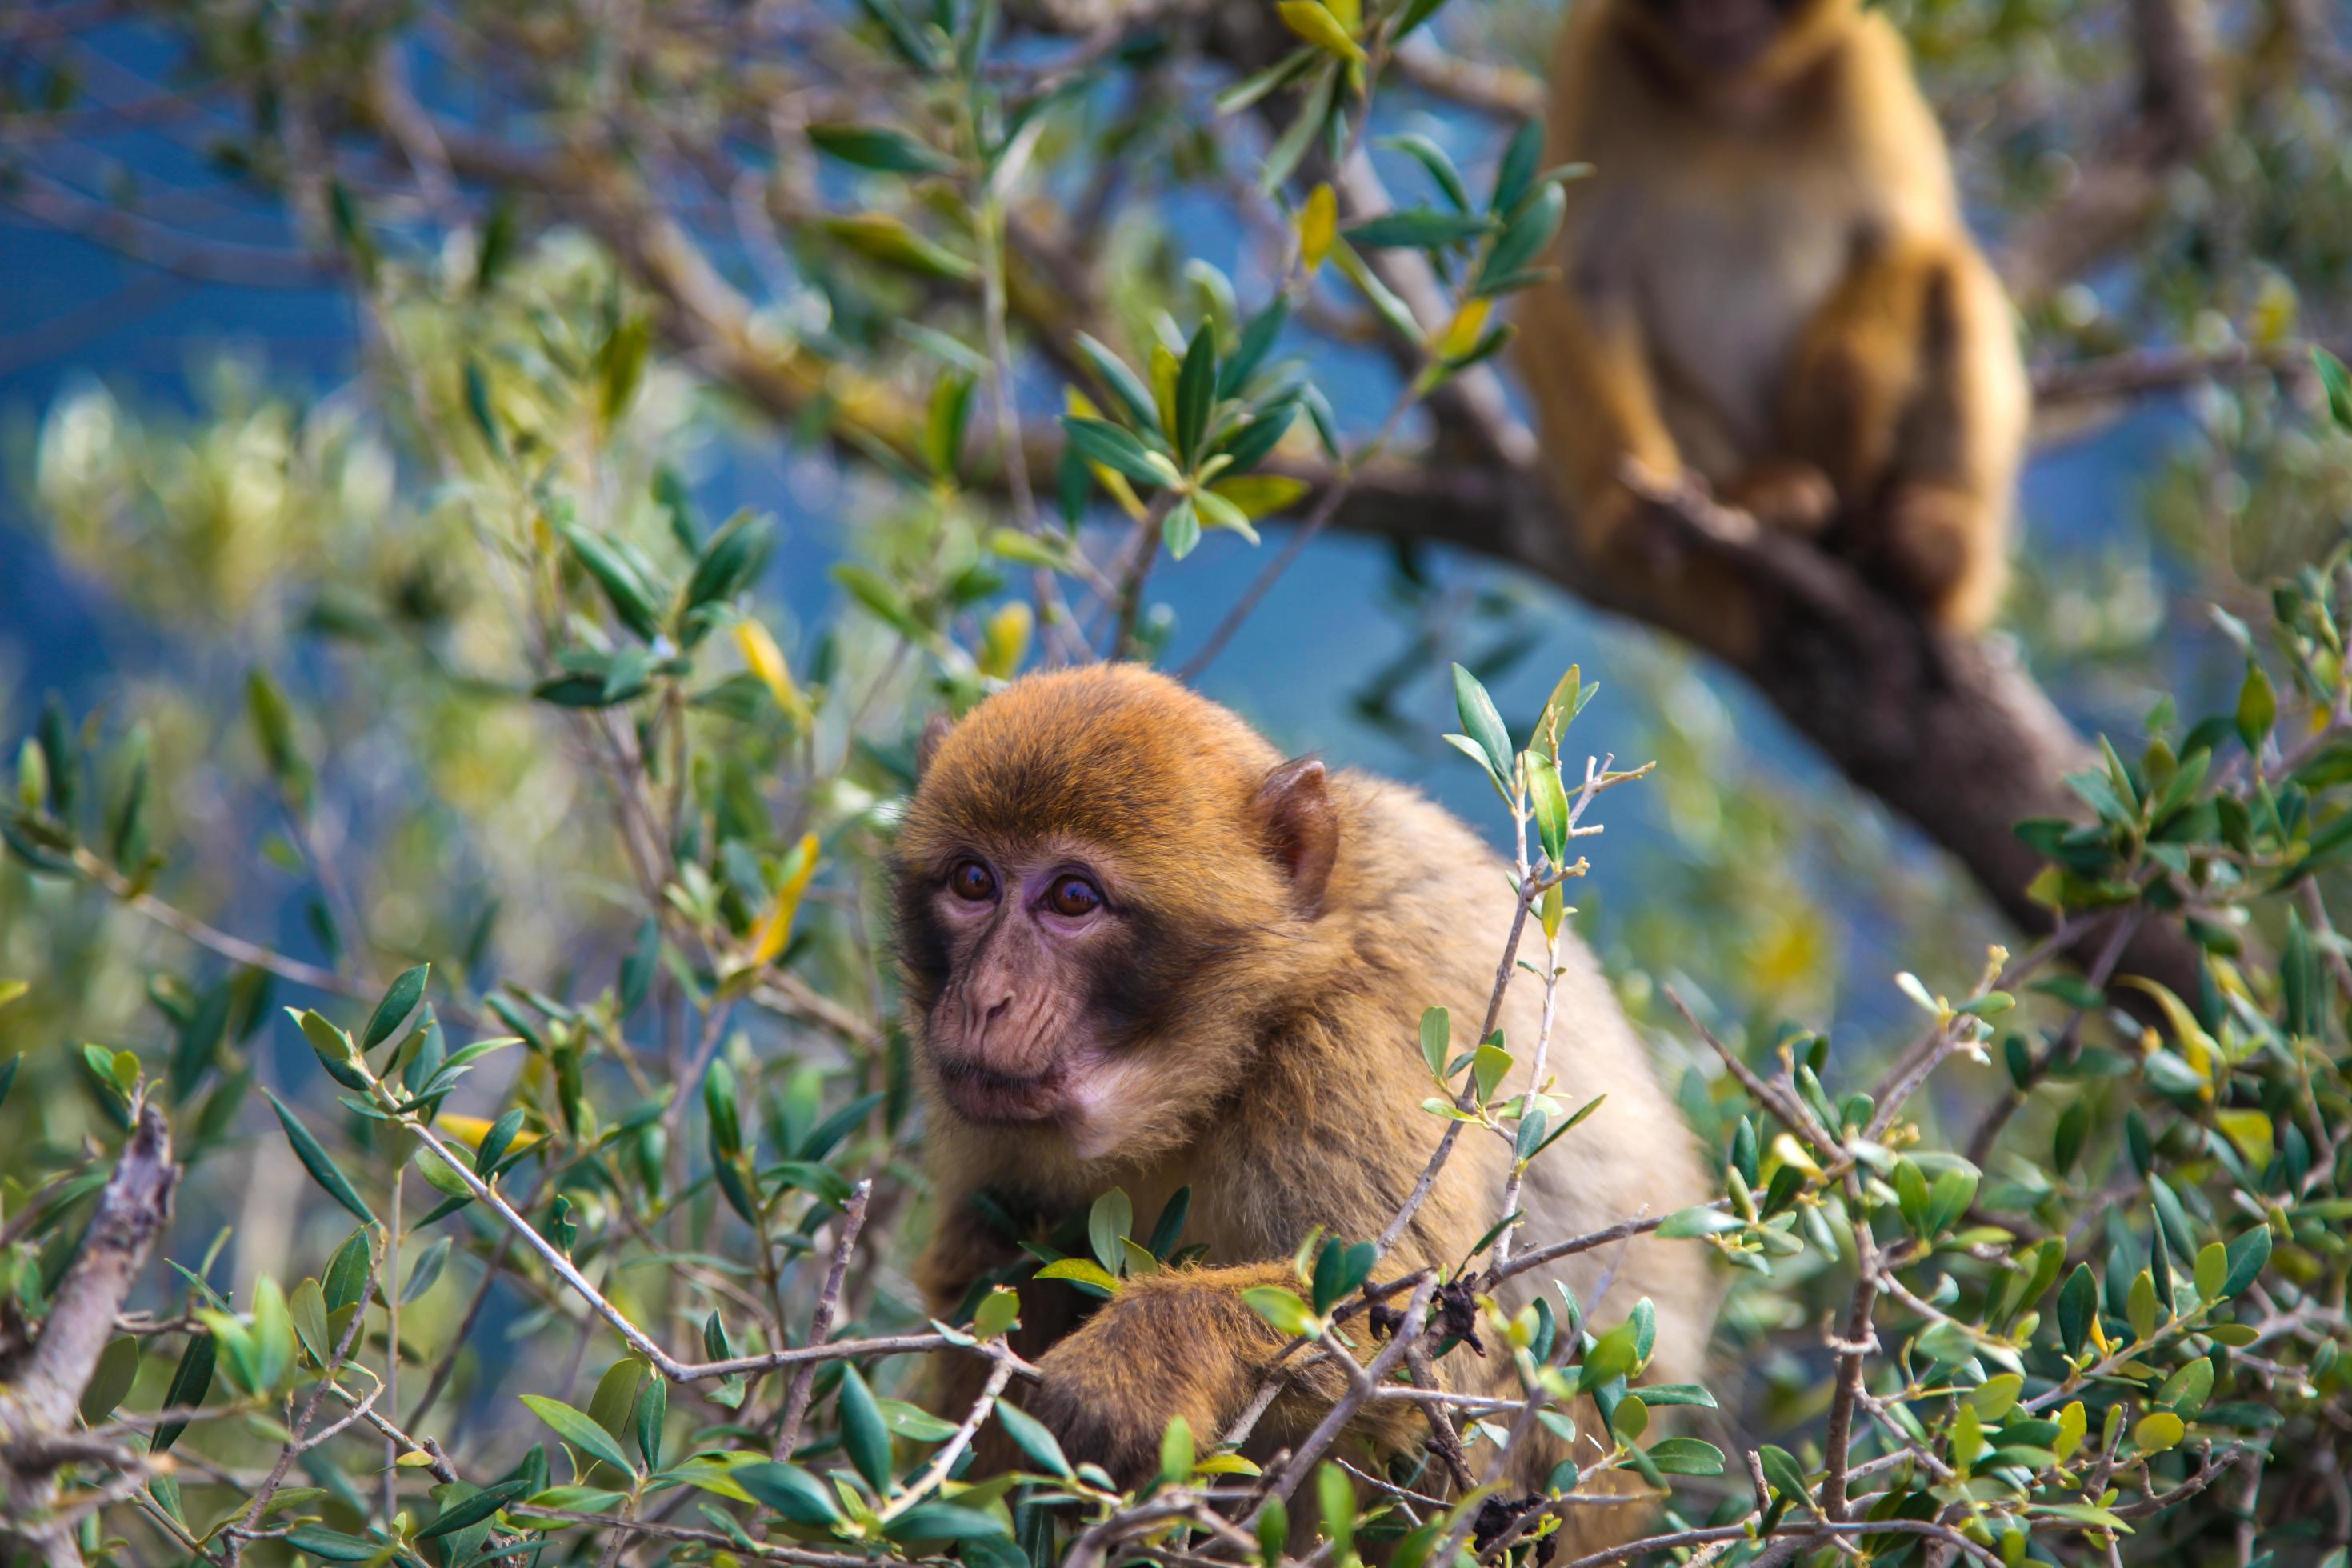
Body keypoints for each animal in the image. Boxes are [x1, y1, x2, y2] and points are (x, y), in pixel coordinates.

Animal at [889, 667, 1722, 1561]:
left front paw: (1135, 1362)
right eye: (973, 882)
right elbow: (988, 1266)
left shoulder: (1343, 1055)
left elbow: (1432, 1333)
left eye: (1073, 897)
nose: (984, 999)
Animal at [1514, 0, 2032, 653]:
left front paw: (1838, 403)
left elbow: (1903, 240)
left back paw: (1937, 545)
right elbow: (1580, 282)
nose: (1715, 11)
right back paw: (1760, 502)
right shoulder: (1598, 63)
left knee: (1951, 277)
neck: (1733, 95)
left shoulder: (1862, 66)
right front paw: (1631, 512)